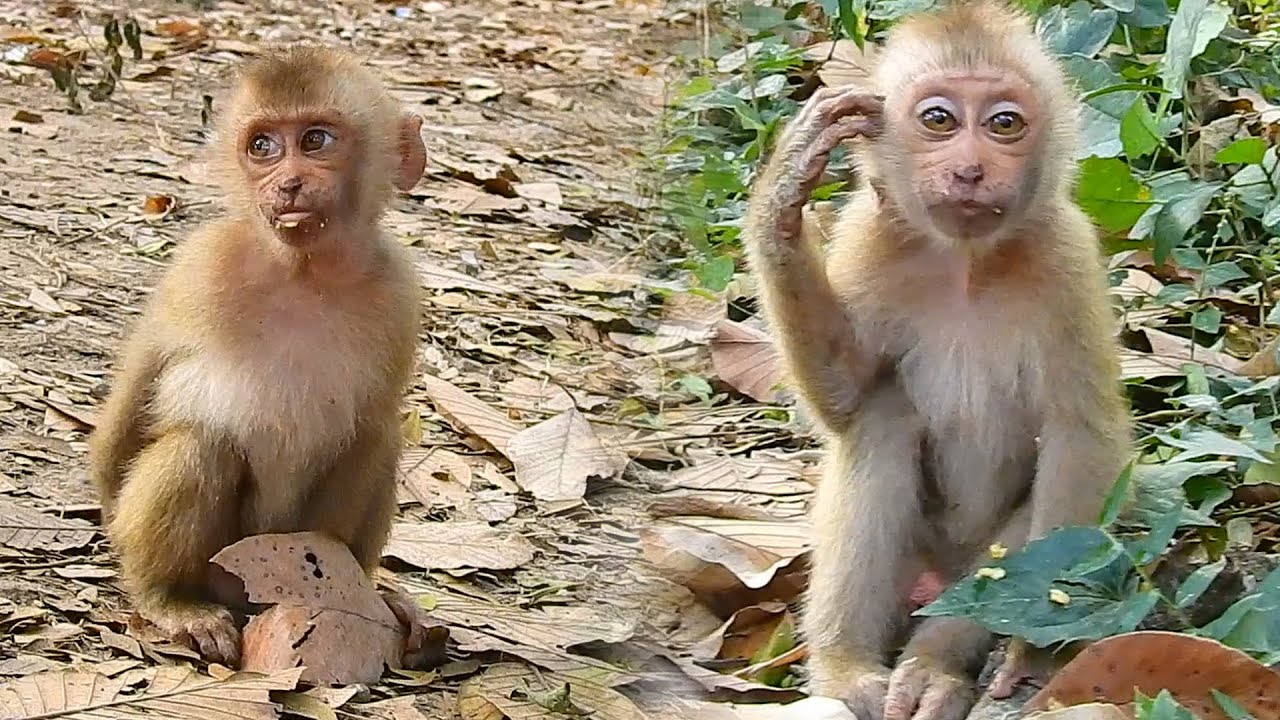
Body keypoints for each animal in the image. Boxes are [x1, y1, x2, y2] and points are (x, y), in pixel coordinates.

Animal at [87, 44, 432, 668]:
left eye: (316, 140)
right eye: (263, 147)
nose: (288, 184)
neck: (303, 273)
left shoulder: (399, 292)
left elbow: (375, 417)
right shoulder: (199, 266)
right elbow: (127, 421)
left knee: (374, 437)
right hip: (222, 566)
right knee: (201, 444)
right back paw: (170, 599)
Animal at [742, 2, 1132, 718]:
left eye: (1003, 124)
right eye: (939, 120)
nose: (971, 170)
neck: (966, 265)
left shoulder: (1067, 254)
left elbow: (1081, 434)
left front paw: (1032, 648)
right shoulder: (870, 237)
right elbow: (847, 401)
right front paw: (782, 199)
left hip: (973, 567)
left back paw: (935, 668)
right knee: (882, 419)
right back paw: (846, 668)